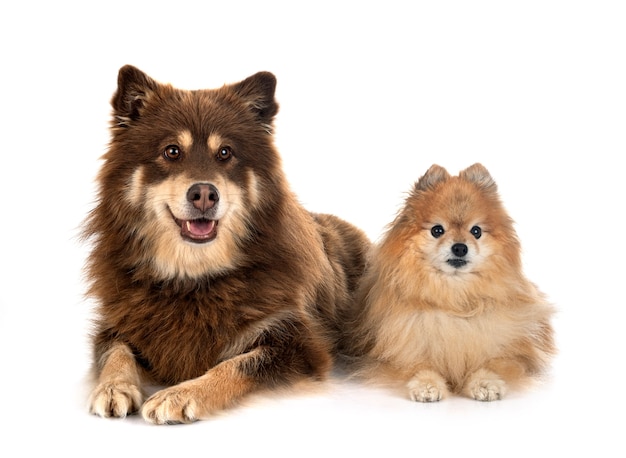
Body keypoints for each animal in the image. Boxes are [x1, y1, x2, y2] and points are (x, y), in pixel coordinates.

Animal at [85, 66, 372, 424]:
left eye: (225, 153)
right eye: (171, 151)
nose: (204, 194)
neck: (193, 276)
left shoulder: (299, 343)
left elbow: (237, 365)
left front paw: (182, 394)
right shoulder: (117, 323)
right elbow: (115, 353)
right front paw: (113, 388)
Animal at [344, 164, 552, 400]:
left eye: (476, 231)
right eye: (437, 230)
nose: (460, 247)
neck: (454, 296)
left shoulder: (513, 352)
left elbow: (495, 364)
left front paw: (486, 383)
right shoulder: (401, 350)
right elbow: (417, 365)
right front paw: (426, 385)